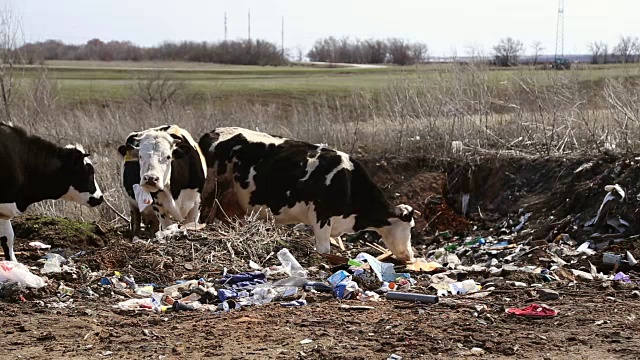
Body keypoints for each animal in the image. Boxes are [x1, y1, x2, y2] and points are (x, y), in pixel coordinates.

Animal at [200, 126, 420, 262]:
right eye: (409, 228)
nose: (410, 256)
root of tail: (213, 132)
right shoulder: (322, 217)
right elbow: (324, 251)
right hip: (210, 188)